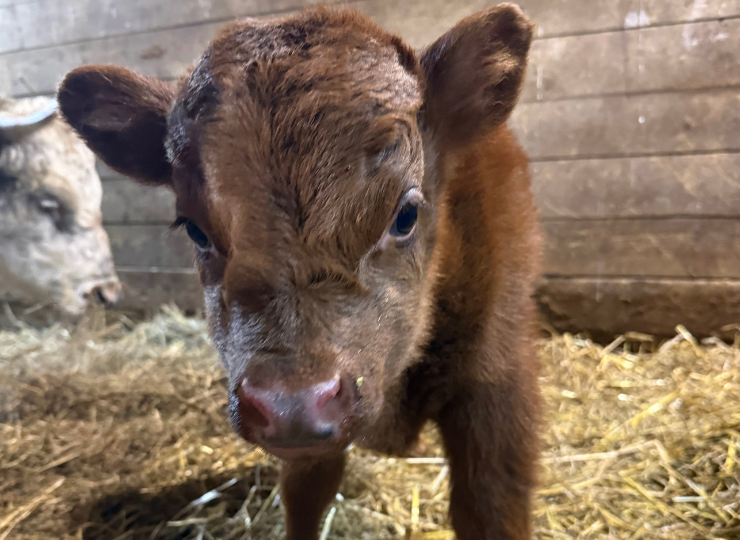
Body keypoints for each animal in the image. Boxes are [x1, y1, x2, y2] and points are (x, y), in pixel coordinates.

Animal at [57, 4, 542, 539]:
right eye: (196, 230)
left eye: (406, 214)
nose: (291, 405)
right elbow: (307, 494)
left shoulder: (497, 394)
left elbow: (489, 507)